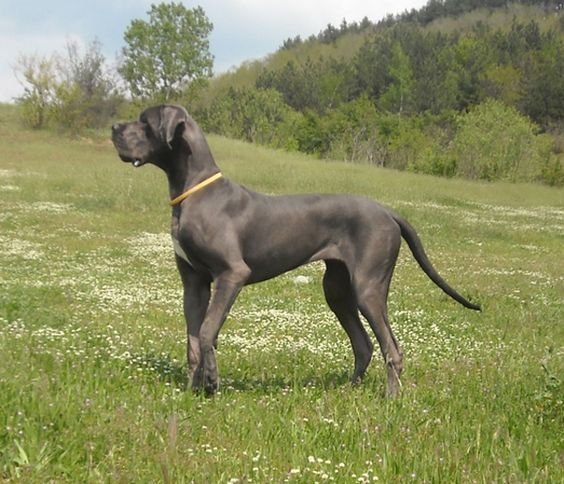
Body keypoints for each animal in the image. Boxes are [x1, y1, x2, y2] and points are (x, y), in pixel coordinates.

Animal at [111, 105, 480, 398]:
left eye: (144, 121)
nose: (113, 127)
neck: (194, 192)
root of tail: (388, 211)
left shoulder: (232, 274)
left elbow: (205, 332)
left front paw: (212, 382)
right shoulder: (194, 283)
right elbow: (193, 340)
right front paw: (192, 392)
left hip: (368, 287)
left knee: (392, 348)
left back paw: (390, 398)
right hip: (337, 291)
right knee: (364, 345)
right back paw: (349, 391)